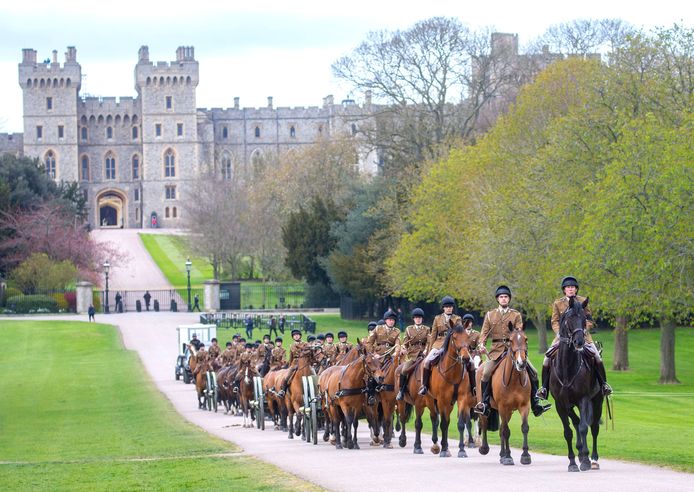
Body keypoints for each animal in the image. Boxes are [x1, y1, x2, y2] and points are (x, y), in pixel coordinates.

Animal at [478, 320, 532, 468]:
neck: (514, 380)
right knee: (485, 423)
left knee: (502, 428)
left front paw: (525, 455)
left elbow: (524, 428)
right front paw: (508, 457)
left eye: (526, 339)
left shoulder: (524, 406)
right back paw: (485, 448)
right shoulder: (503, 407)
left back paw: (502, 454)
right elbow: (506, 431)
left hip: (509, 412)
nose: (521, 363)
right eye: (510, 340)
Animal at [552, 296, 608, 472]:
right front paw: (572, 462)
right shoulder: (560, 404)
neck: (567, 368)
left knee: (594, 427)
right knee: (577, 422)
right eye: (569, 318)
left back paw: (593, 459)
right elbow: (568, 431)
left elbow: (584, 427)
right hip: (570, 405)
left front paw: (584, 460)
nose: (579, 342)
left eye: (585, 319)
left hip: (597, 401)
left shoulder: (583, 399)